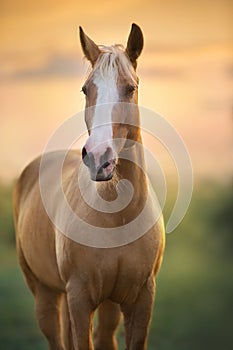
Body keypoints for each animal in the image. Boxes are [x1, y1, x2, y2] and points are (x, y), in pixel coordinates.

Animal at [13, 23, 165, 348]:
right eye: (86, 89)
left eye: (130, 88)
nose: (99, 158)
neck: (116, 218)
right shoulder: (80, 300)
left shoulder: (141, 300)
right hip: (45, 293)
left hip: (107, 305)